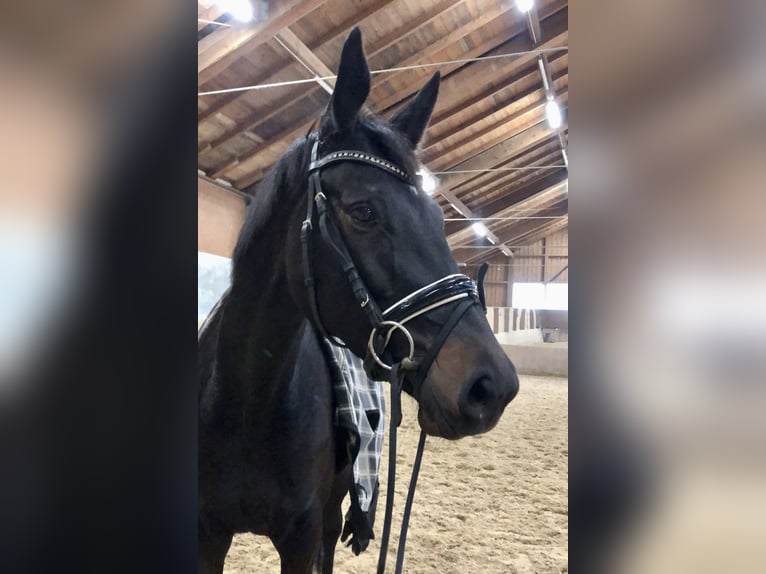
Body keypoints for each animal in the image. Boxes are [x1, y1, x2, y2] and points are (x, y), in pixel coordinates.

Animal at [198, 29, 520, 574]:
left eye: (438, 219)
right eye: (365, 211)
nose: (492, 385)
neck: (246, 401)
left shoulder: (302, 536)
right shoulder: (207, 534)